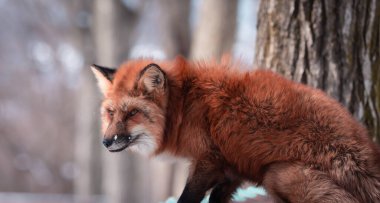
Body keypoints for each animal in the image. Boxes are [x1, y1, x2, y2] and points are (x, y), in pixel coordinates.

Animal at [91, 56, 380, 202]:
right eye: (110, 113)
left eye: (132, 113)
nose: (106, 142)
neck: (184, 107)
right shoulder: (233, 166)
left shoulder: (208, 159)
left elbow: (187, 198)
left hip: (278, 174)